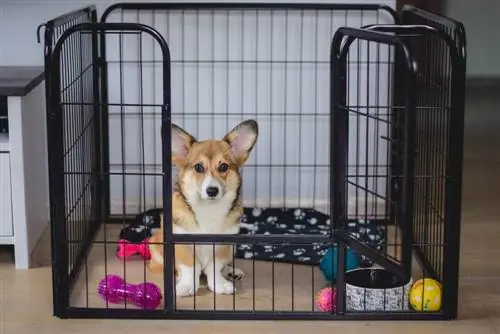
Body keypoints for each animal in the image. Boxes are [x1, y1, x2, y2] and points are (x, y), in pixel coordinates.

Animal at [147, 118, 258, 296]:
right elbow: (189, 267)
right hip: (156, 249)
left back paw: (231, 272)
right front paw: (186, 286)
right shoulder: (182, 243)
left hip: (232, 248)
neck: (208, 208)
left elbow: (215, 268)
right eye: (198, 167)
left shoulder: (222, 246)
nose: (212, 190)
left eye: (223, 167)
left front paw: (220, 284)